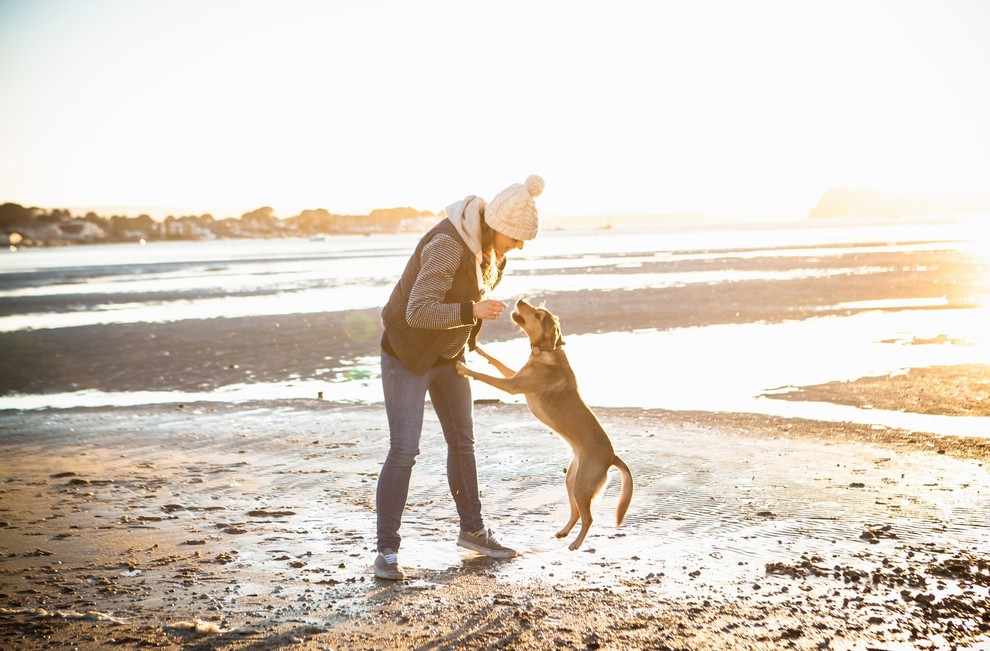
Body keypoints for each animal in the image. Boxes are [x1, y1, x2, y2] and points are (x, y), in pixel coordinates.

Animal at [458, 300, 636, 552]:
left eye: (539, 315)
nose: (521, 300)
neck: (546, 352)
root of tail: (611, 457)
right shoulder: (514, 377)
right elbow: (497, 362)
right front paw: (480, 349)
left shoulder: (511, 385)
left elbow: (485, 376)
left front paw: (463, 368)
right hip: (571, 480)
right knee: (576, 512)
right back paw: (564, 532)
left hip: (582, 486)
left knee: (588, 517)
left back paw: (575, 543)